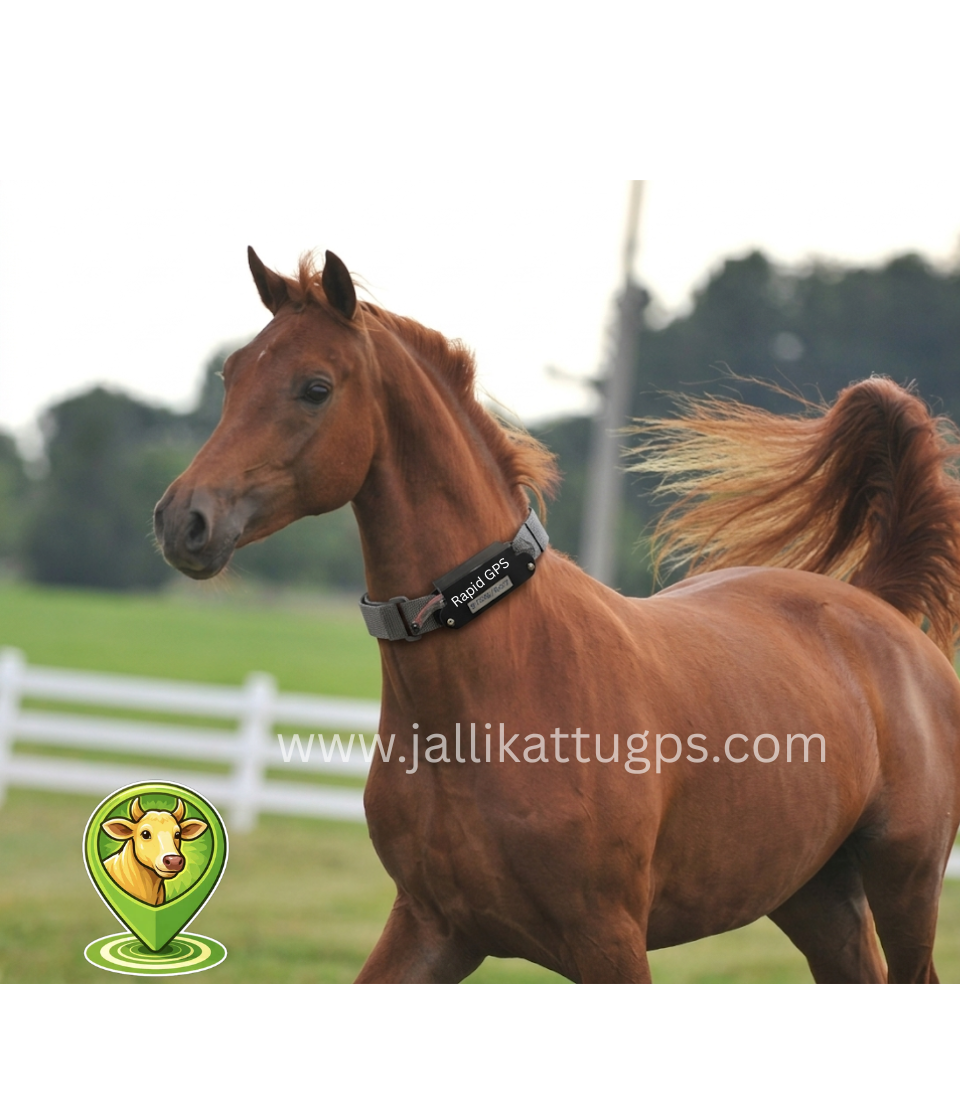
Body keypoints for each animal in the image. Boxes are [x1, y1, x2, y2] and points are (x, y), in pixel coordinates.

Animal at [154, 247, 960, 983]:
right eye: (232, 375)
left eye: (315, 387)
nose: (181, 521)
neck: (501, 685)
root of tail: (876, 602)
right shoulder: (433, 929)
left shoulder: (609, 945)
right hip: (813, 894)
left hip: (906, 882)